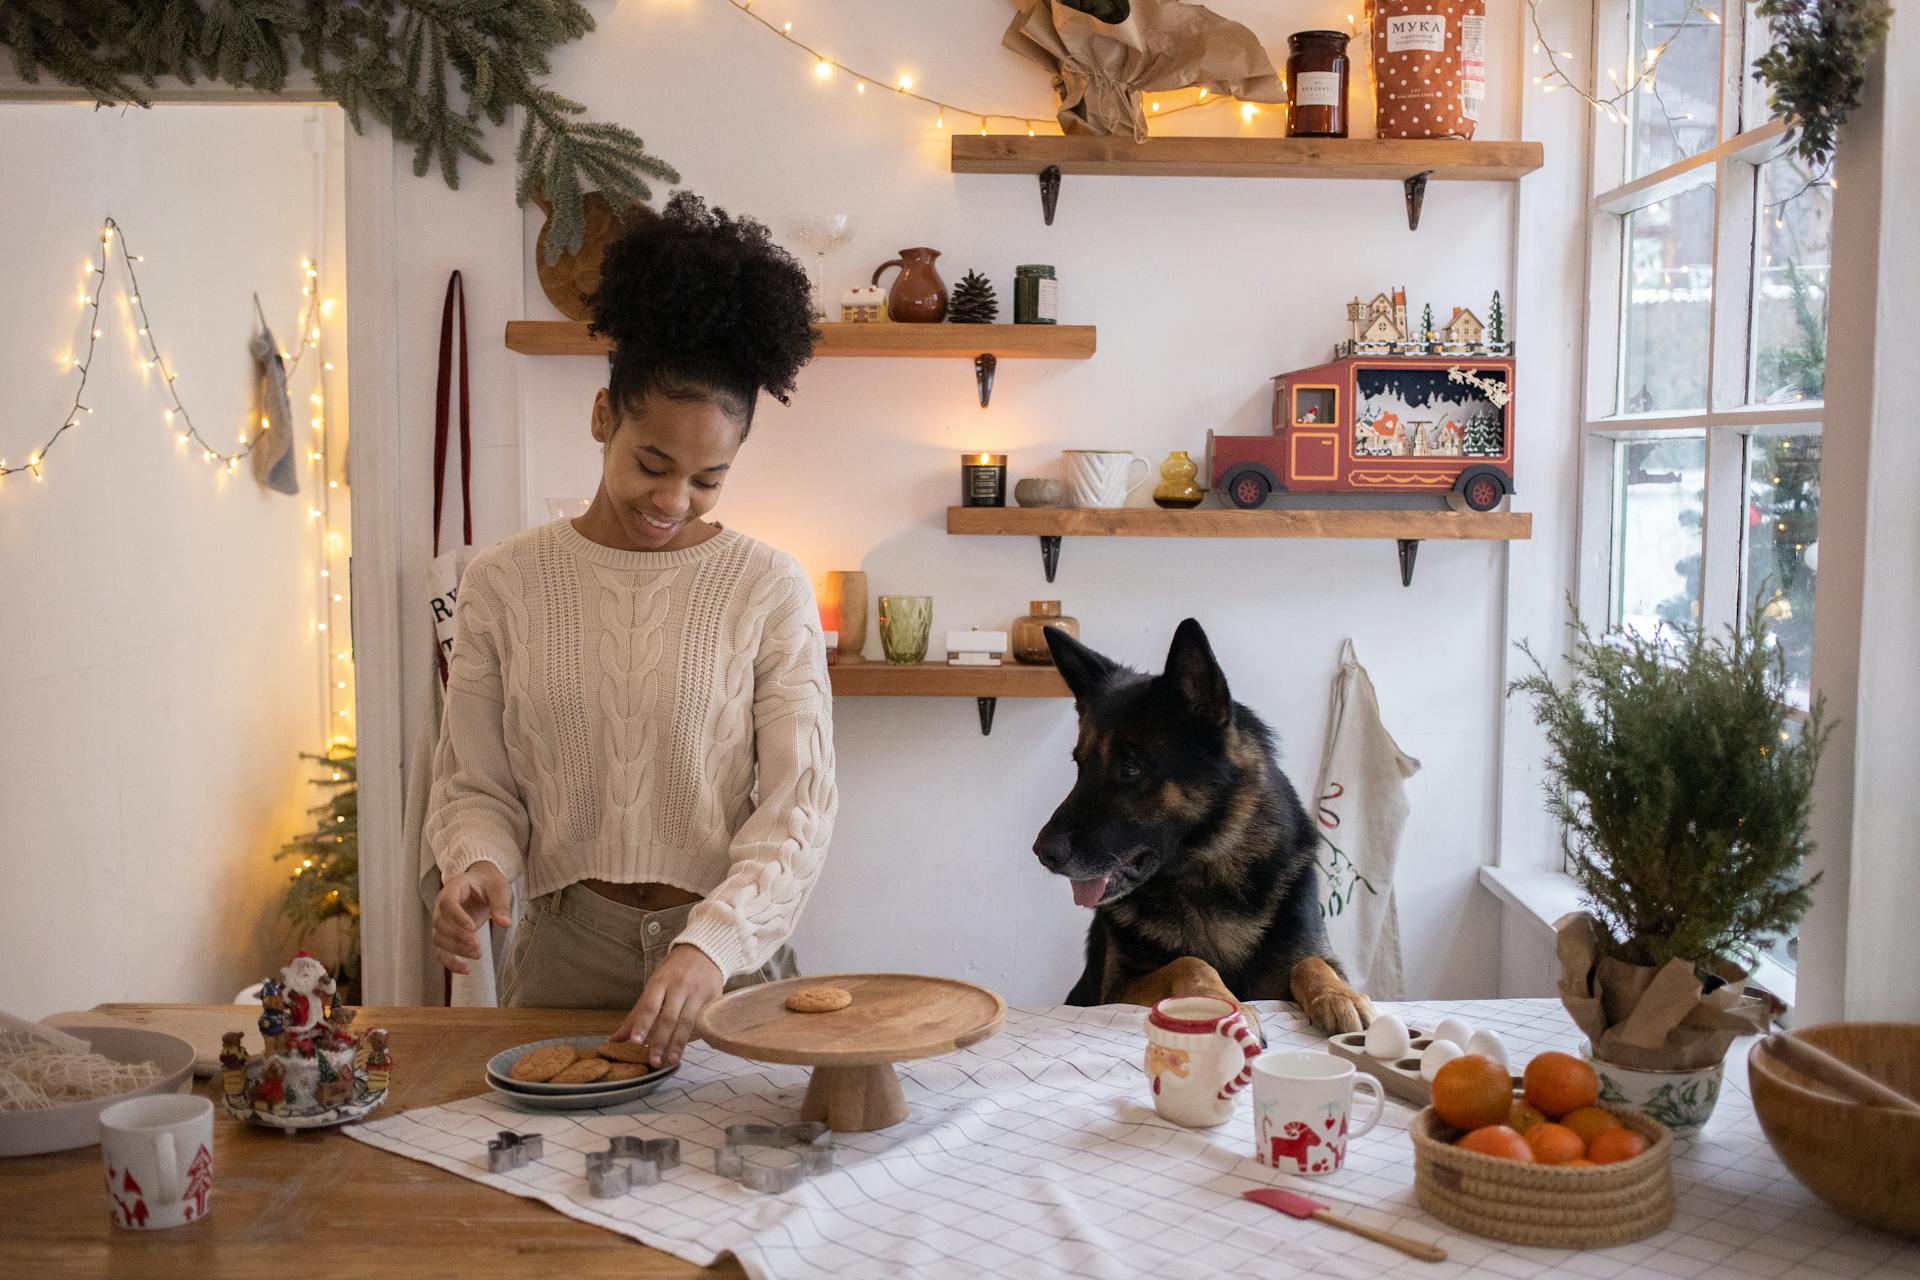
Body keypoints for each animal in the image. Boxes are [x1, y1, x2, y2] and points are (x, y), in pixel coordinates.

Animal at [1036, 621, 1382, 1043]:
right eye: (1080, 766)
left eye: (1131, 767)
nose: (1042, 851)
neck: (1211, 873)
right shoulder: (1113, 990)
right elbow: (1190, 962)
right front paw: (1224, 1006)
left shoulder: (1303, 957)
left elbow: (1312, 963)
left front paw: (1339, 995)